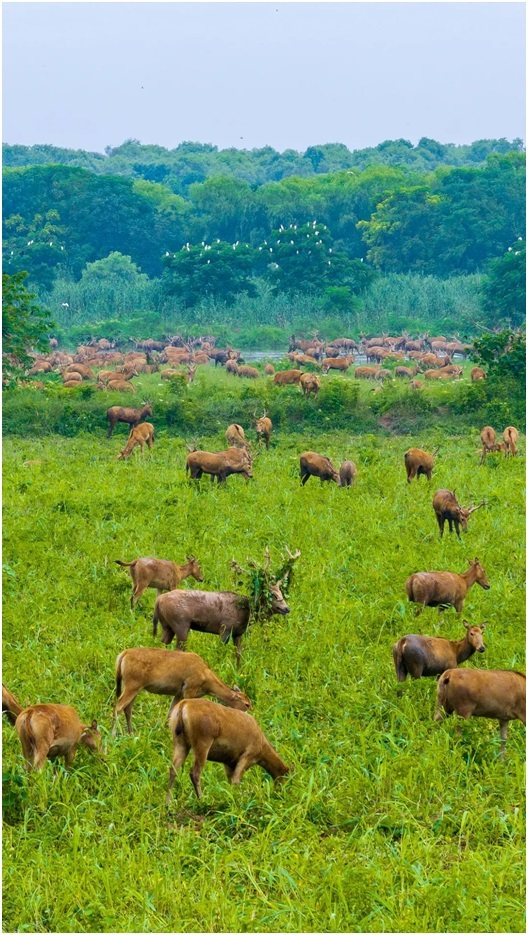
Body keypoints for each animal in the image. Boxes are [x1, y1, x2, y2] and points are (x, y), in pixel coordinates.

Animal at [112, 648, 253, 736]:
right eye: (246, 704)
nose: (251, 713)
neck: (206, 680)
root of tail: (123, 655)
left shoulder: (178, 692)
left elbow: (171, 712)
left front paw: (165, 732)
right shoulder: (189, 689)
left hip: (133, 686)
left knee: (127, 708)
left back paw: (131, 733)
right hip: (132, 684)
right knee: (118, 706)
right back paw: (113, 735)